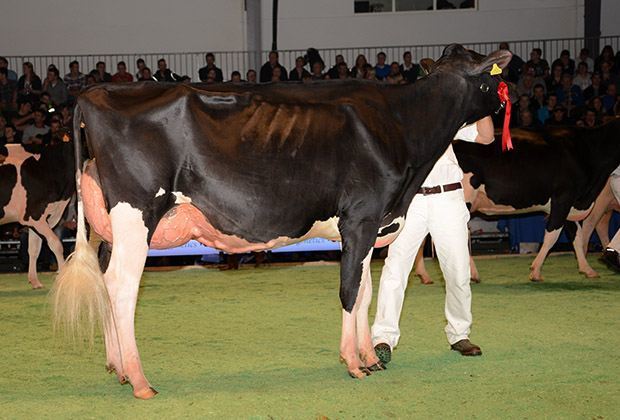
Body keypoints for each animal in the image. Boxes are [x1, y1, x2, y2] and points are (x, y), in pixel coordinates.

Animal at [50, 44, 512, 398]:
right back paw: (140, 380)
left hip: (110, 226)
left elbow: (365, 291)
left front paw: (368, 357)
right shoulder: (360, 218)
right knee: (121, 287)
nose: (507, 99)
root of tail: (94, 94)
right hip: (137, 213)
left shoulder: (370, 227)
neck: (402, 128)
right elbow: (349, 292)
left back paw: (118, 368)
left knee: (107, 282)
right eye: (492, 78)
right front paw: (353, 363)